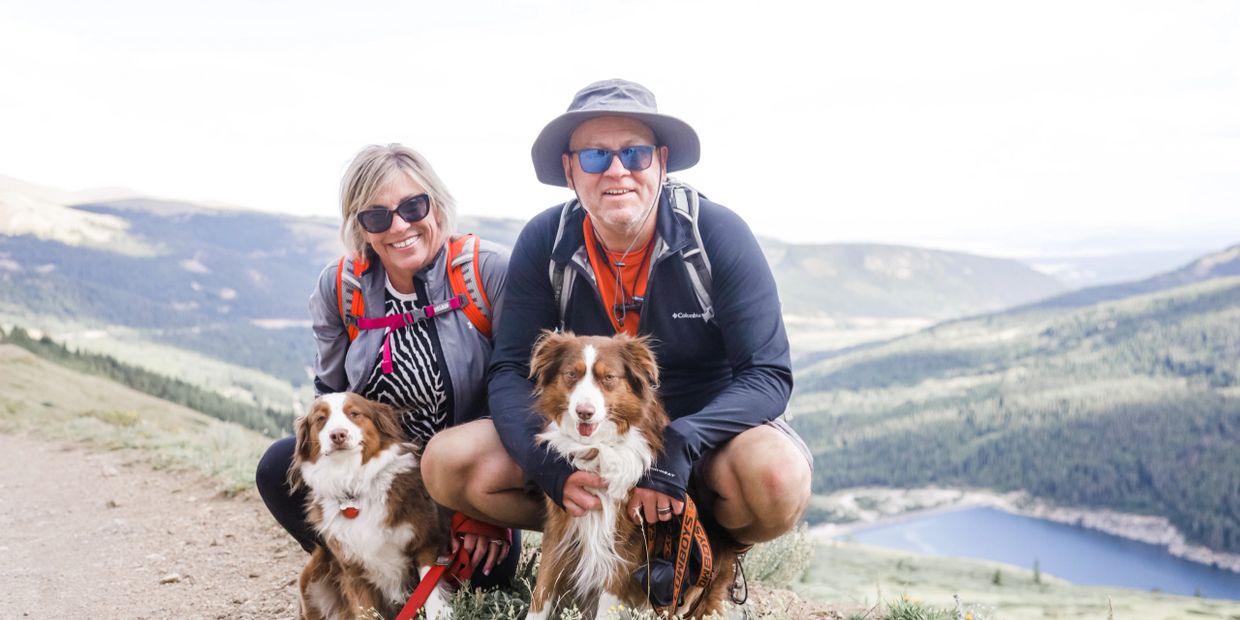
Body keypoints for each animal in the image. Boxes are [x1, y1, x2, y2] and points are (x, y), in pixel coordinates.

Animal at [287, 391, 453, 620]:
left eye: (354, 413)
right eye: (321, 418)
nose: (338, 435)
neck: (353, 489)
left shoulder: (428, 543)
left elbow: (431, 595)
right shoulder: (352, 569)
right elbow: (365, 611)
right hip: (311, 576)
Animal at [525, 334, 734, 620]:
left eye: (609, 377)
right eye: (571, 374)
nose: (584, 412)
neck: (600, 448)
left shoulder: (629, 541)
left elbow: (608, 603)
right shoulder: (560, 525)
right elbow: (541, 593)